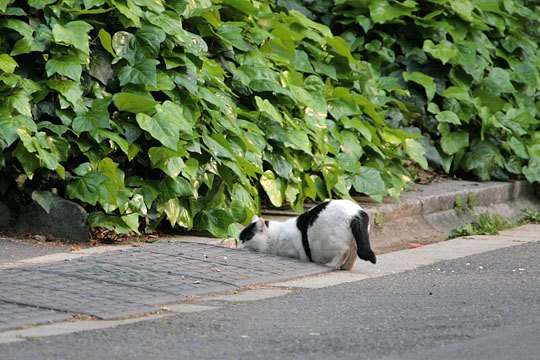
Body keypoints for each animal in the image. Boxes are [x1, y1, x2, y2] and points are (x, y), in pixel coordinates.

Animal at [238, 200, 378, 270]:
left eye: (245, 239)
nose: (238, 247)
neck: (276, 235)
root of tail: (356, 213)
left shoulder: (294, 252)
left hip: (328, 243)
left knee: (344, 250)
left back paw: (332, 265)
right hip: (355, 244)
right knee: (352, 258)